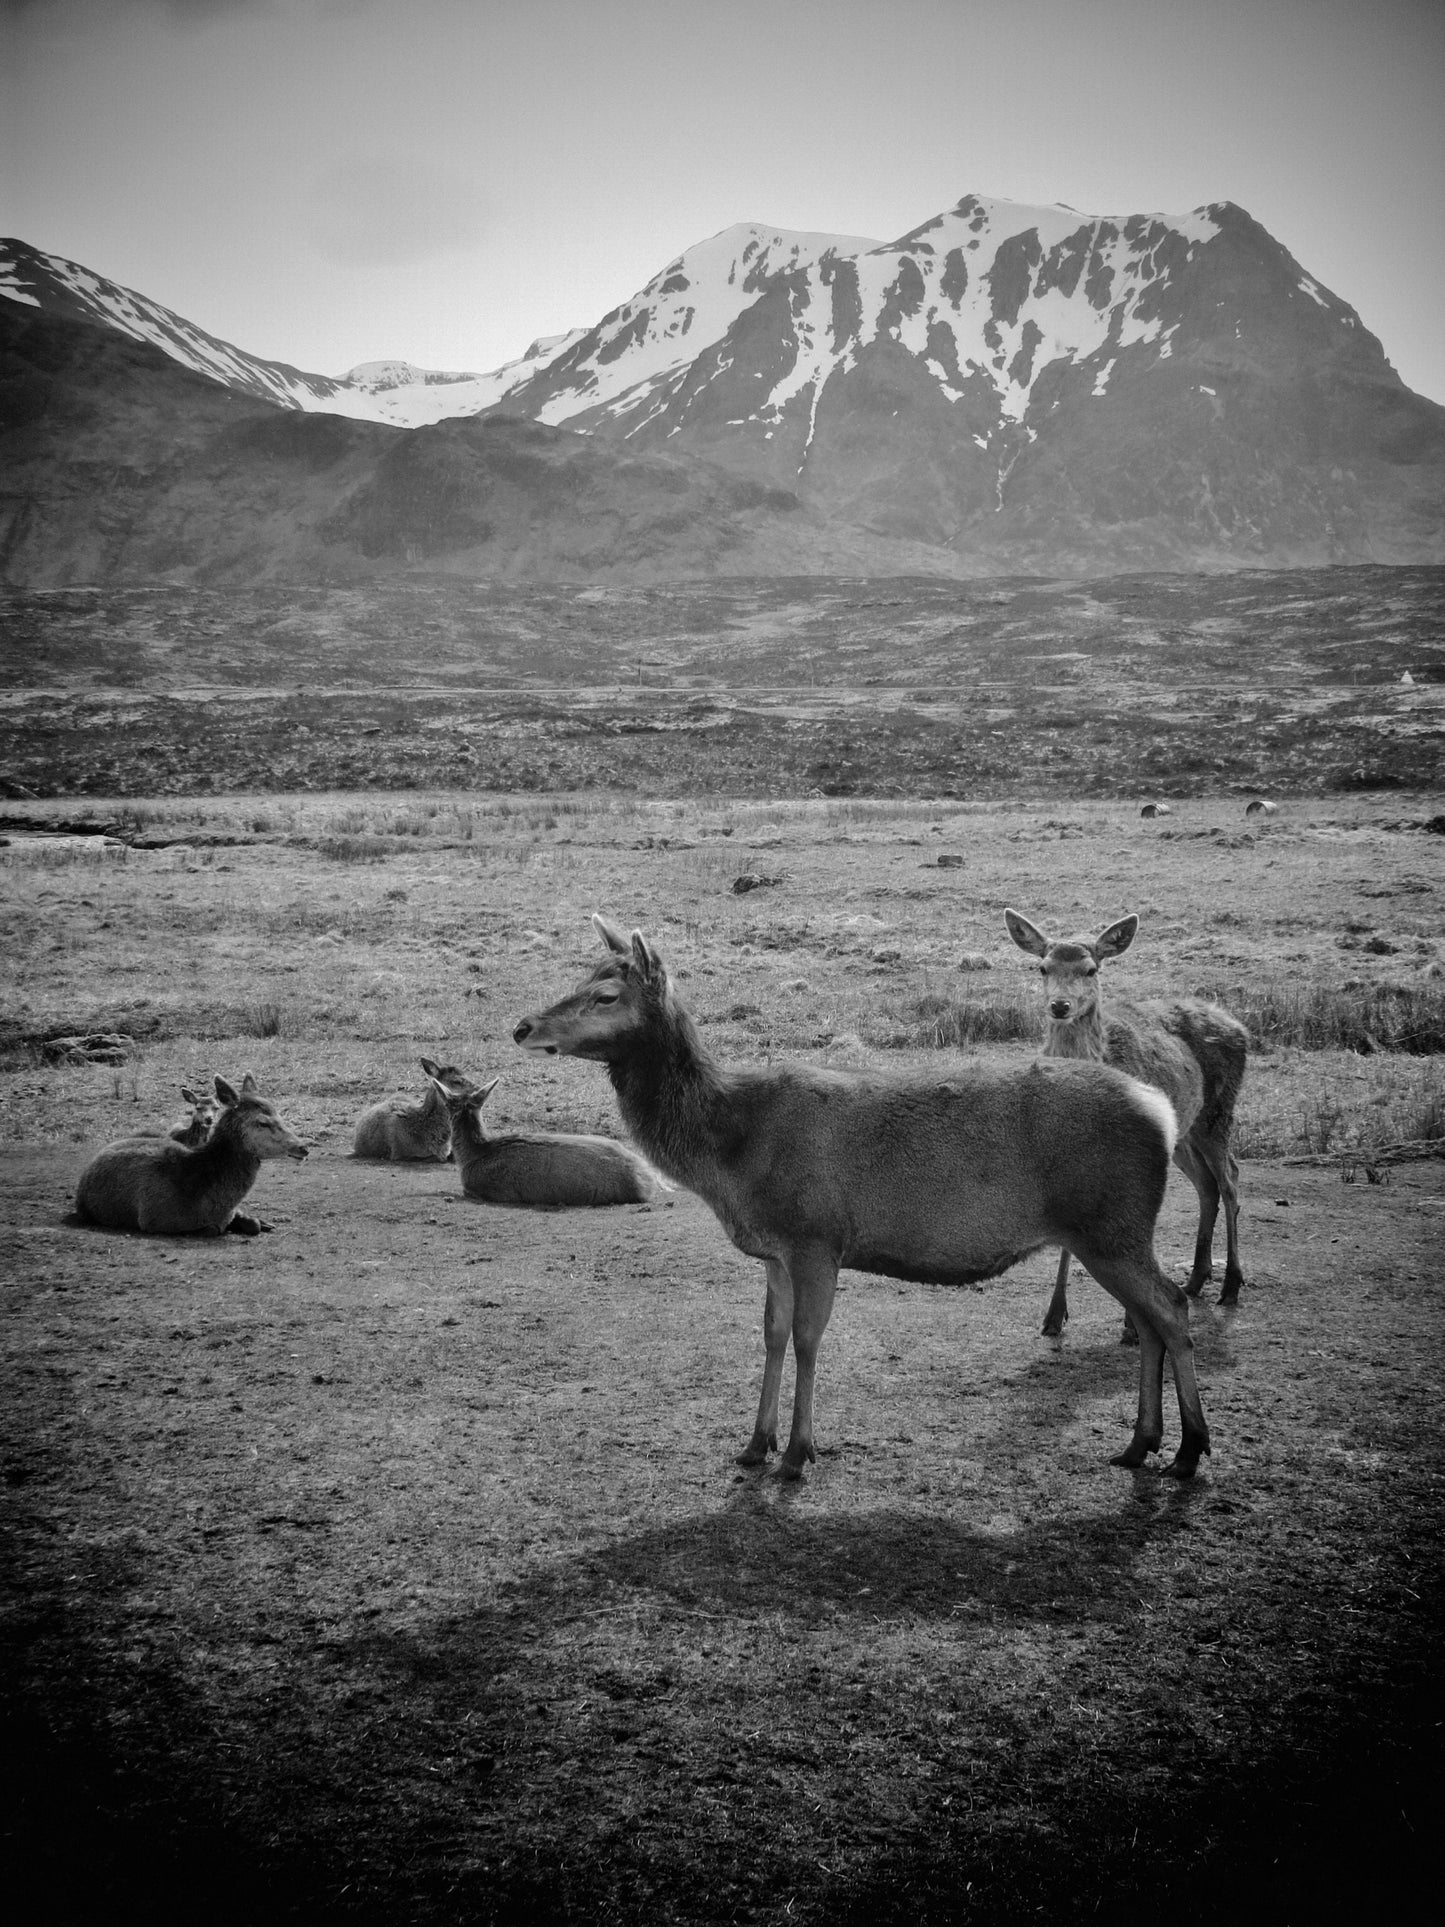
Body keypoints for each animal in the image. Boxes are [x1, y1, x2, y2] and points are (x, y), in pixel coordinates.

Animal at [76, 1071, 308, 1233]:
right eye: (262, 1122)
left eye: (278, 1113)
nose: (303, 1147)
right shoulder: (154, 1219)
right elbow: (213, 1229)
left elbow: (252, 1225)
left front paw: (261, 1222)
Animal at [516, 909, 1217, 1479]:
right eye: (580, 975)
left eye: (607, 993)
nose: (522, 1026)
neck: (731, 1156)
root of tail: (1160, 1110)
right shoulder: (775, 1252)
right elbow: (771, 1336)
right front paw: (755, 1445)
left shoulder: (816, 1236)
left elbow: (807, 1339)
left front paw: (798, 1454)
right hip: (1110, 1232)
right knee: (1148, 1321)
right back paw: (1140, 1444)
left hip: (1114, 1224)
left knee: (1172, 1307)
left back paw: (1188, 1450)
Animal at [1009, 905, 1248, 1341]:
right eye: (1042, 967)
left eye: (1090, 969)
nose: (1060, 1005)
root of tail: (1239, 1025)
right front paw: (1053, 1317)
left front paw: (1132, 1327)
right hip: (1183, 1131)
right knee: (1207, 1184)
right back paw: (1196, 1278)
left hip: (1219, 1112)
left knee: (1231, 1181)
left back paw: (1231, 1285)